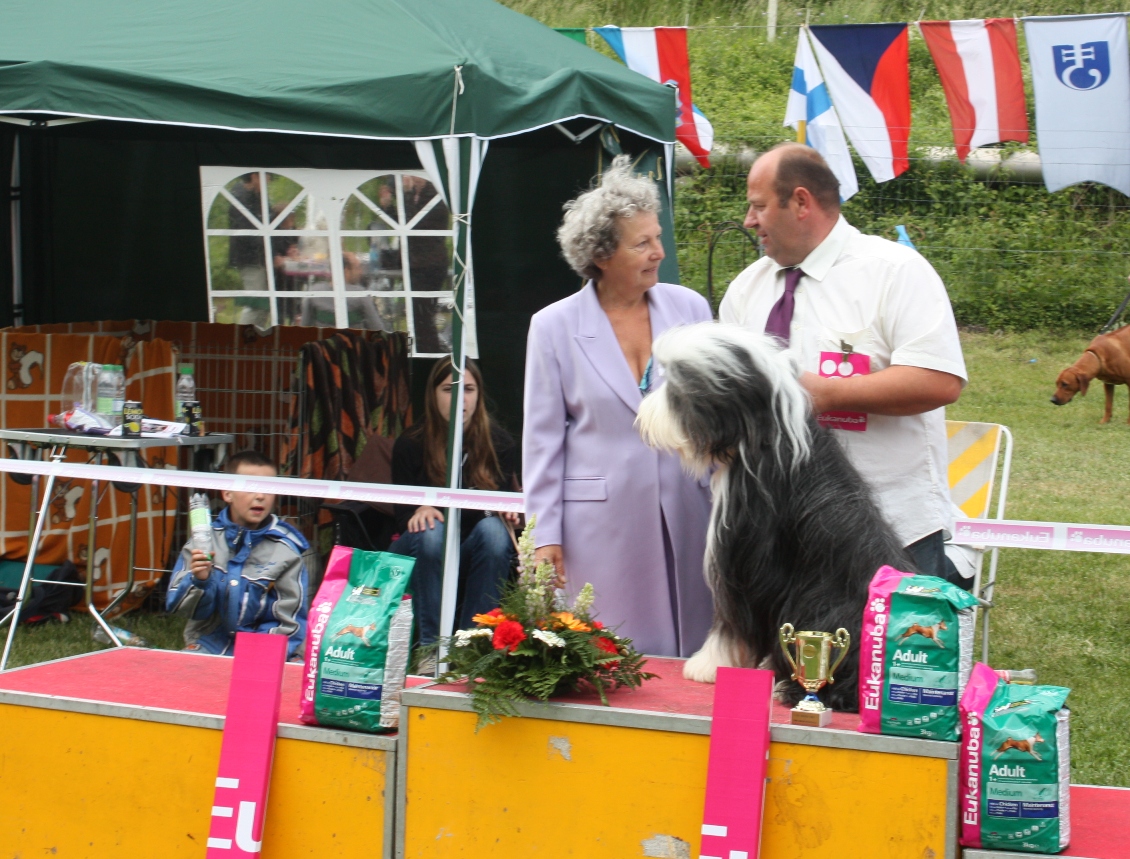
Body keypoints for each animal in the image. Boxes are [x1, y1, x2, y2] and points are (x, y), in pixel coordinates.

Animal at [636, 323, 914, 711]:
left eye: (679, 390)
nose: (641, 416)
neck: (769, 435)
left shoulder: (744, 559)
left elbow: (733, 621)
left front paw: (708, 665)